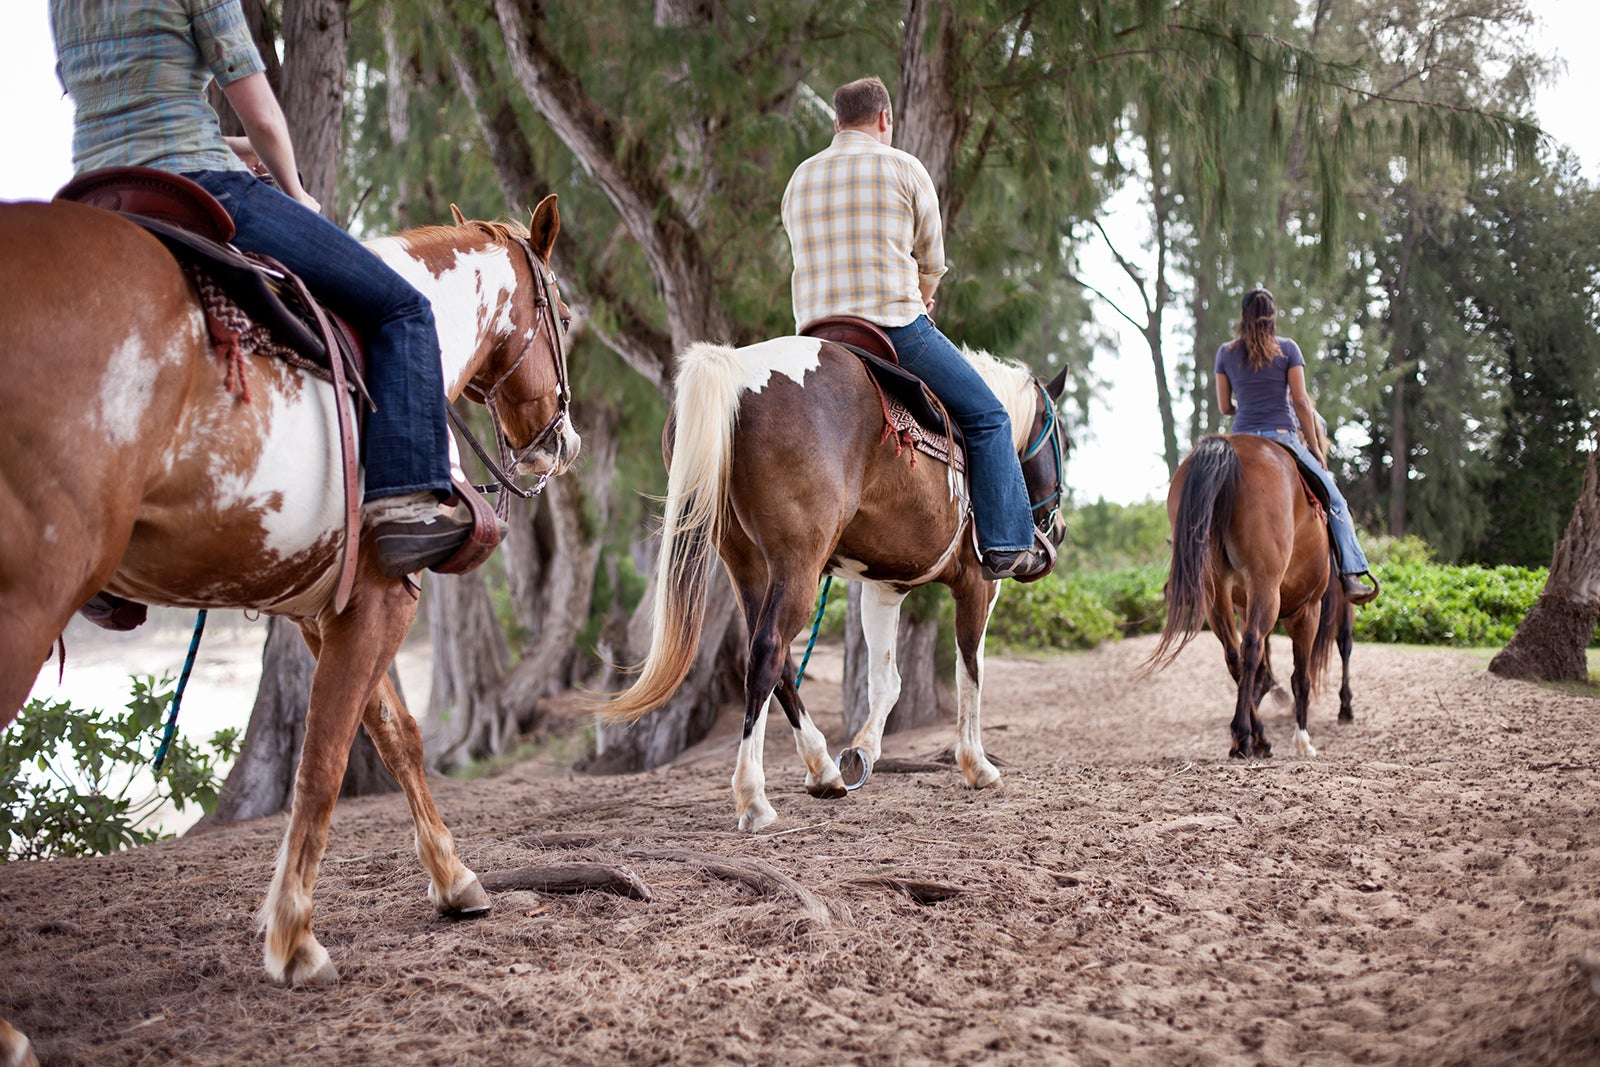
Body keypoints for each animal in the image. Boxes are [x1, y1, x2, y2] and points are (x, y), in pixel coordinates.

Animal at [0, 189, 576, 1062]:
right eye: (566, 318)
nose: (562, 444)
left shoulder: (321, 608)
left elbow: (397, 738)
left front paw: (453, 880)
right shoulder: (383, 596)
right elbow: (324, 762)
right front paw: (294, 938)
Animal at [595, 337, 1068, 831]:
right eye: (1065, 442)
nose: (1057, 531)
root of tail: (739, 370)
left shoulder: (884, 588)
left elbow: (886, 681)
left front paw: (863, 752)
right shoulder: (979, 584)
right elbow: (970, 672)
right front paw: (977, 764)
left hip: (745, 563)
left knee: (778, 658)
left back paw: (823, 770)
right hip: (797, 562)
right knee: (768, 651)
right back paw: (754, 799)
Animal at [1145, 435, 1344, 758]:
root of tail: (1229, 446)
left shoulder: (1243, 605)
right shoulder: (1307, 610)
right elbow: (1300, 678)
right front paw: (1302, 740)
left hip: (1214, 590)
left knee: (1233, 654)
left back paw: (1255, 736)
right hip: (1265, 585)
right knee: (1250, 646)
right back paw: (1244, 734)